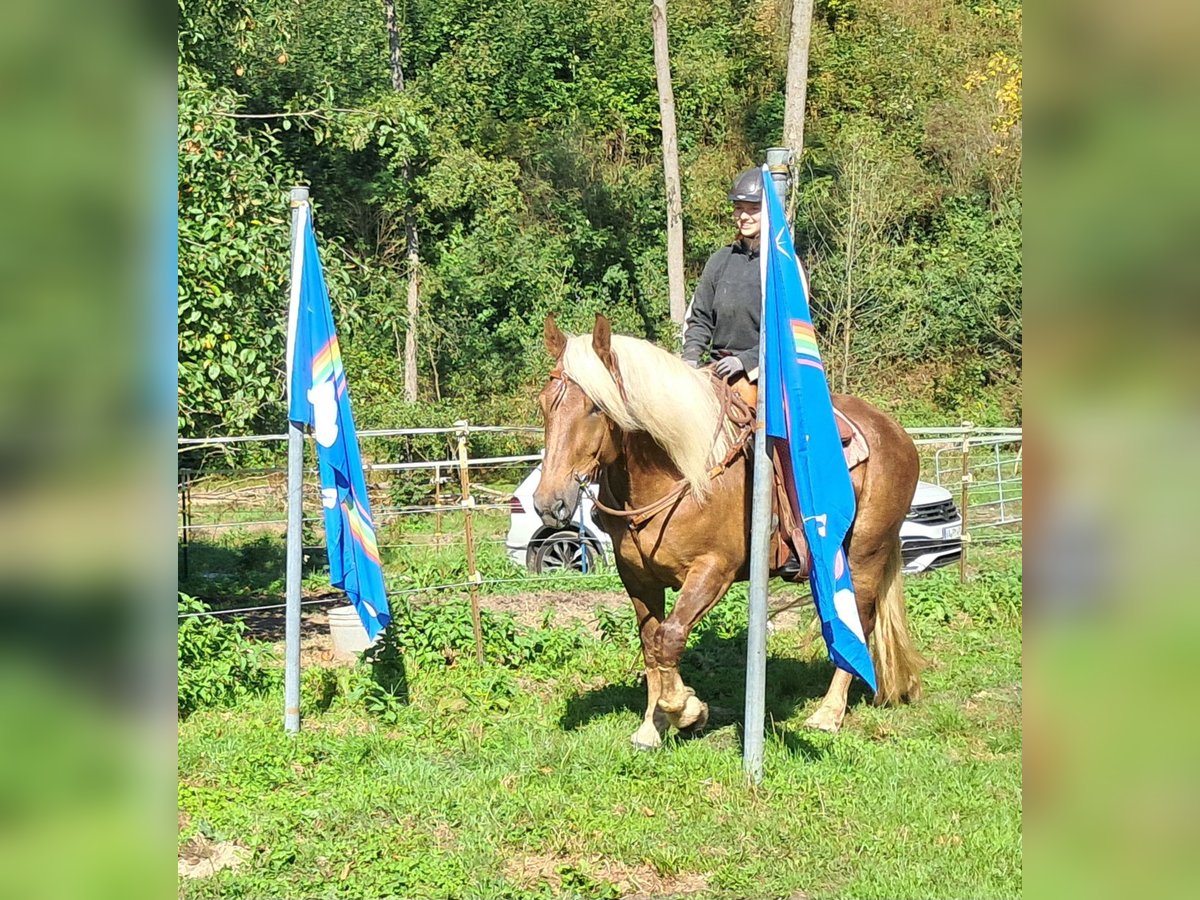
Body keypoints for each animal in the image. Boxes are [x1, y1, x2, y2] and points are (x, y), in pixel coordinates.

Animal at [537, 314, 926, 748]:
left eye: (595, 407)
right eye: (544, 404)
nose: (548, 502)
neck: (677, 469)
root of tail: (896, 432)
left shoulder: (712, 570)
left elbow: (671, 637)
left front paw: (688, 710)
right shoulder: (637, 577)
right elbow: (651, 644)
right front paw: (653, 725)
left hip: (865, 554)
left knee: (859, 618)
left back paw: (828, 713)